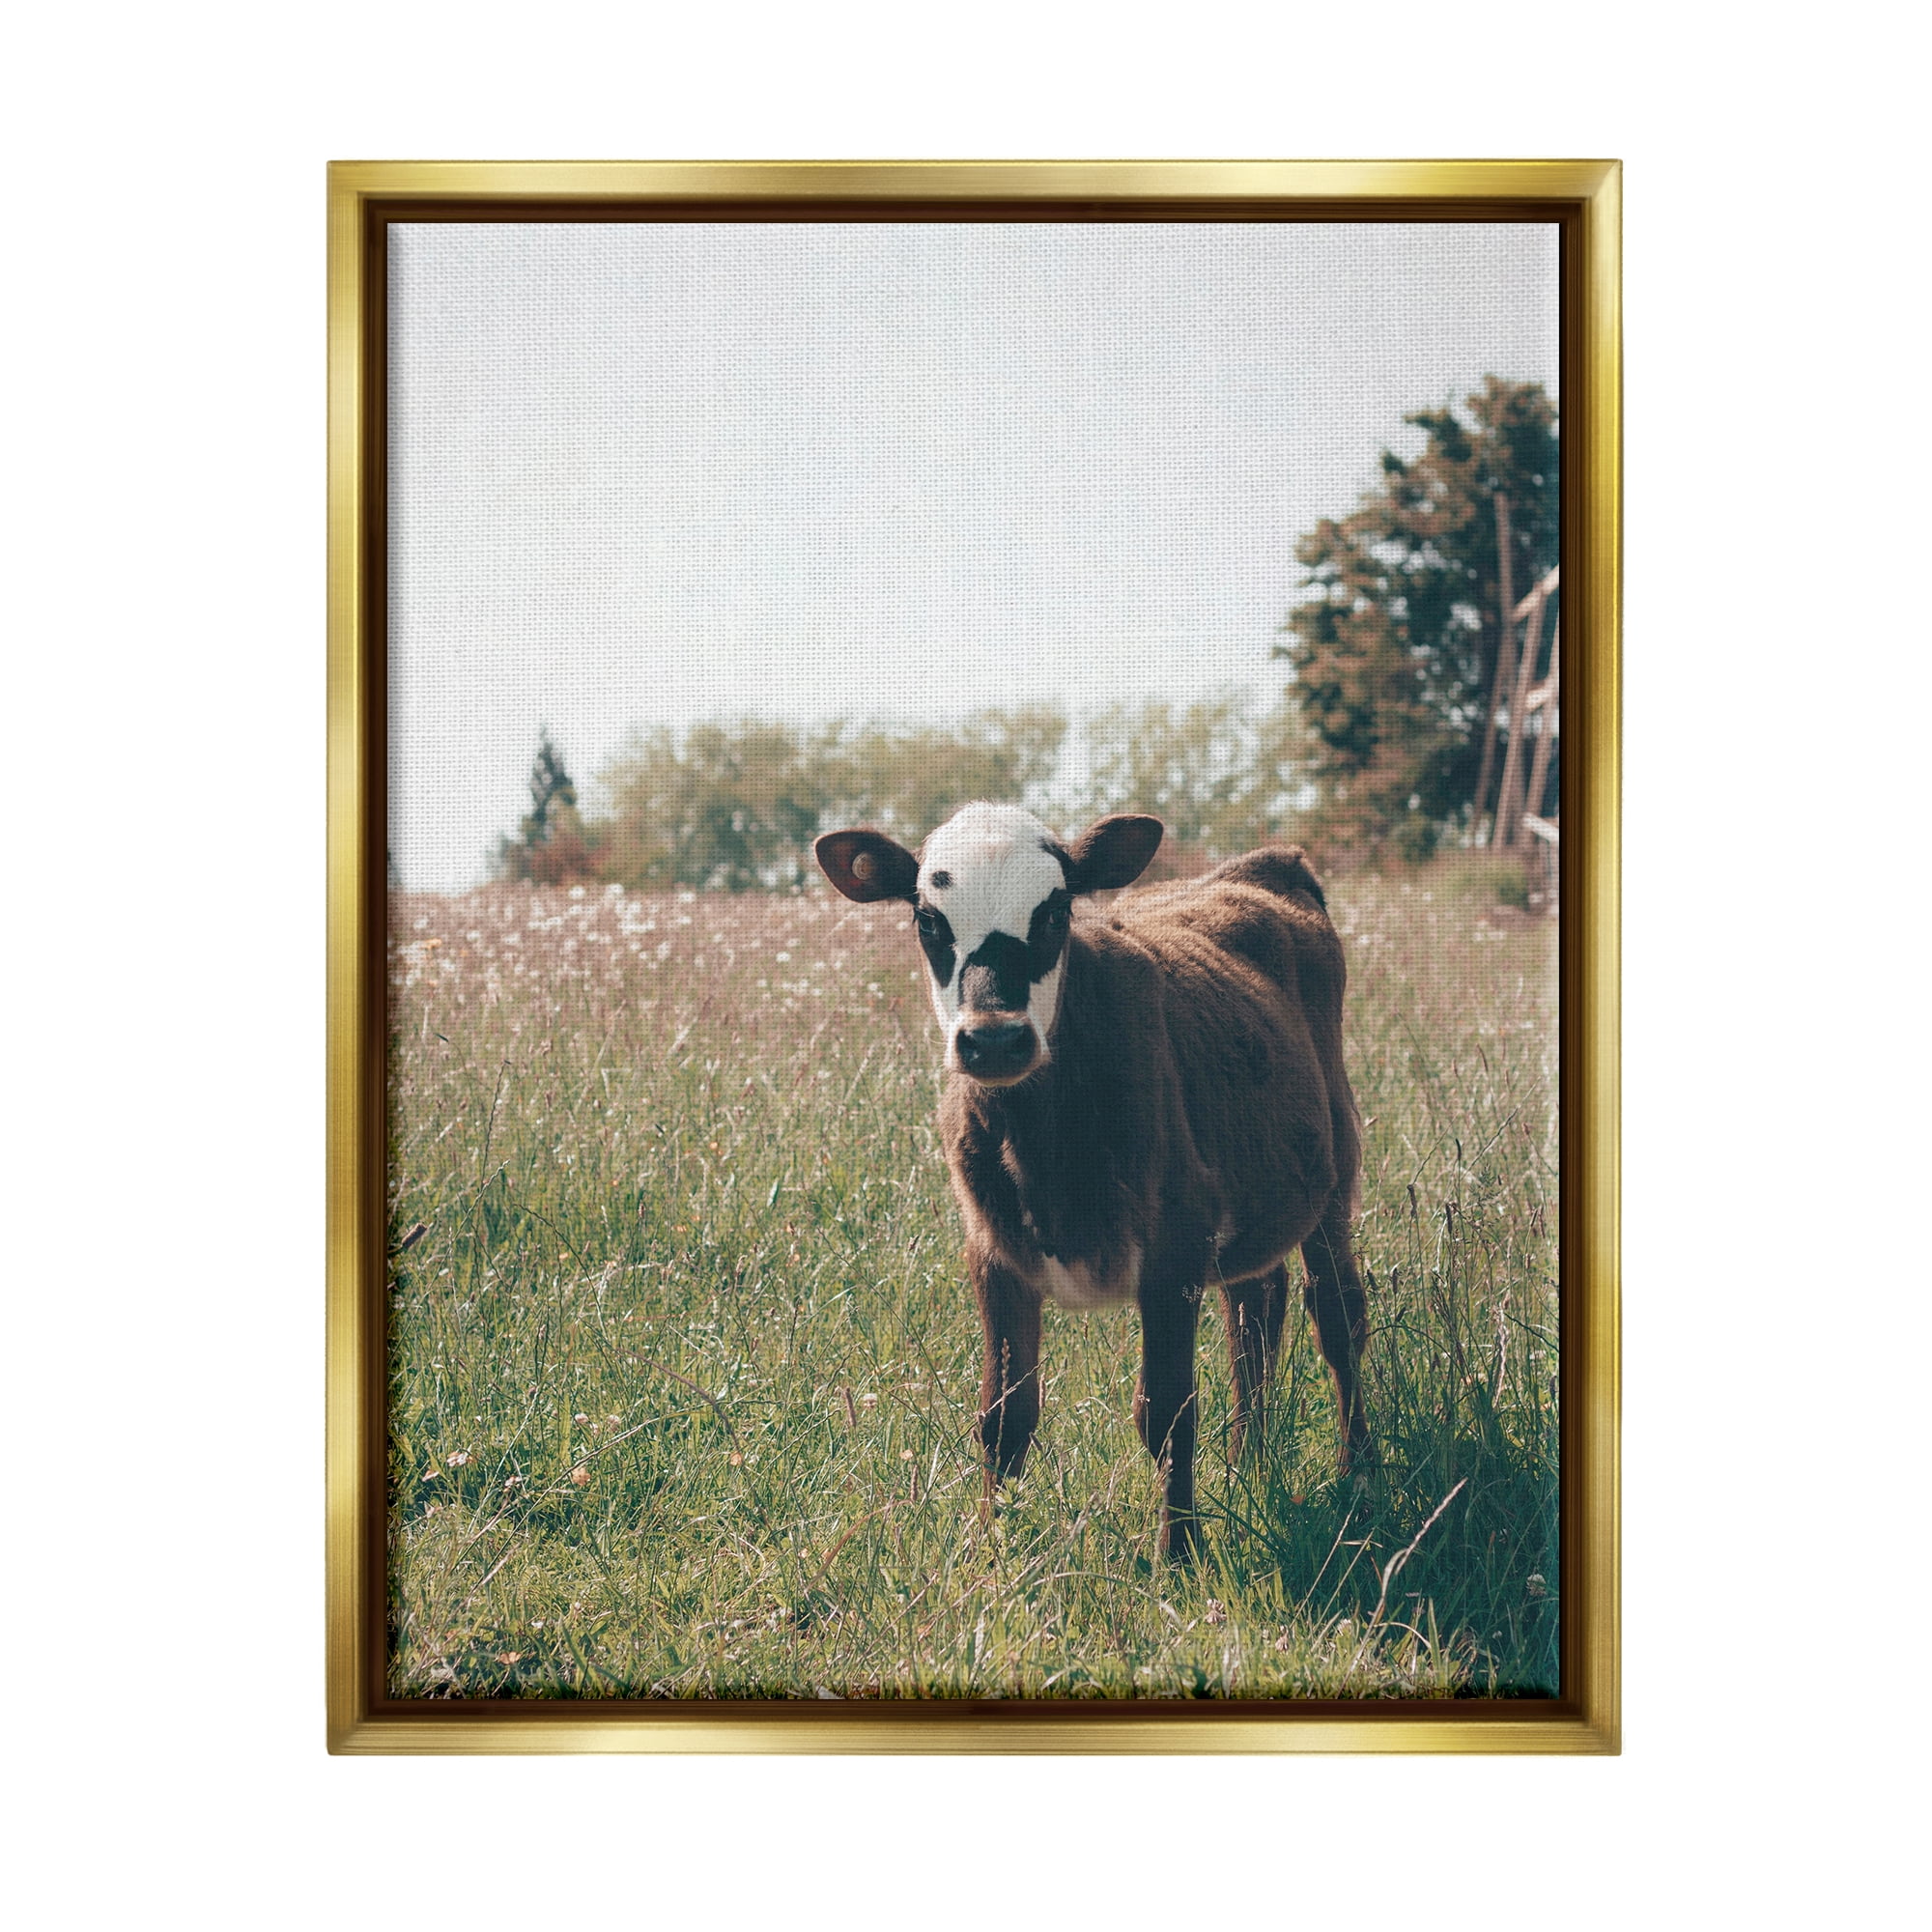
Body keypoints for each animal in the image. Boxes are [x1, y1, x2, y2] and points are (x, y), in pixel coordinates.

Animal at [814, 802, 1370, 1563]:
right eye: (928, 920)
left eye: (1054, 913)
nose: (994, 1040)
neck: (1044, 1148)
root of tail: (1260, 865)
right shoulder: (994, 1255)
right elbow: (1003, 1416)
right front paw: (991, 1550)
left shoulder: (1174, 1250)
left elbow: (1165, 1411)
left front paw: (1179, 1557)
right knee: (1256, 1308)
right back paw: (1246, 1466)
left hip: (1336, 1167)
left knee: (1337, 1316)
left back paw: (1359, 1473)